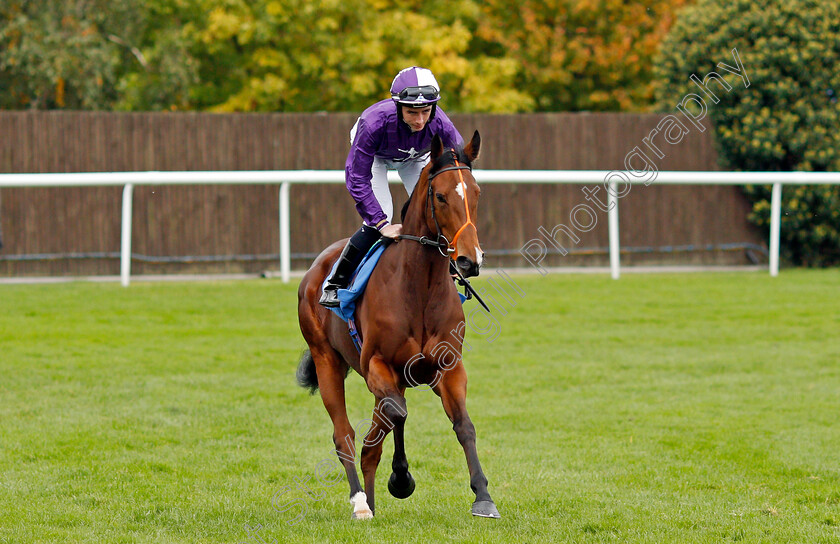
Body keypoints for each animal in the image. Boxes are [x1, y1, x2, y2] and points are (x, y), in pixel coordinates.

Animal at [296, 130, 498, 520]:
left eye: (477, 193)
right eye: (440, 196)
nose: (470, 260)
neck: (419, 287)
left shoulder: (448, 367)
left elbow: (463, 425)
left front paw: (483, 496)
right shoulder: (378, 364)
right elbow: (398, 413)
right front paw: (401, 479)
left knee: (372, 440)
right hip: (327, 360)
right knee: (345, 434)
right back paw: (361, 502)